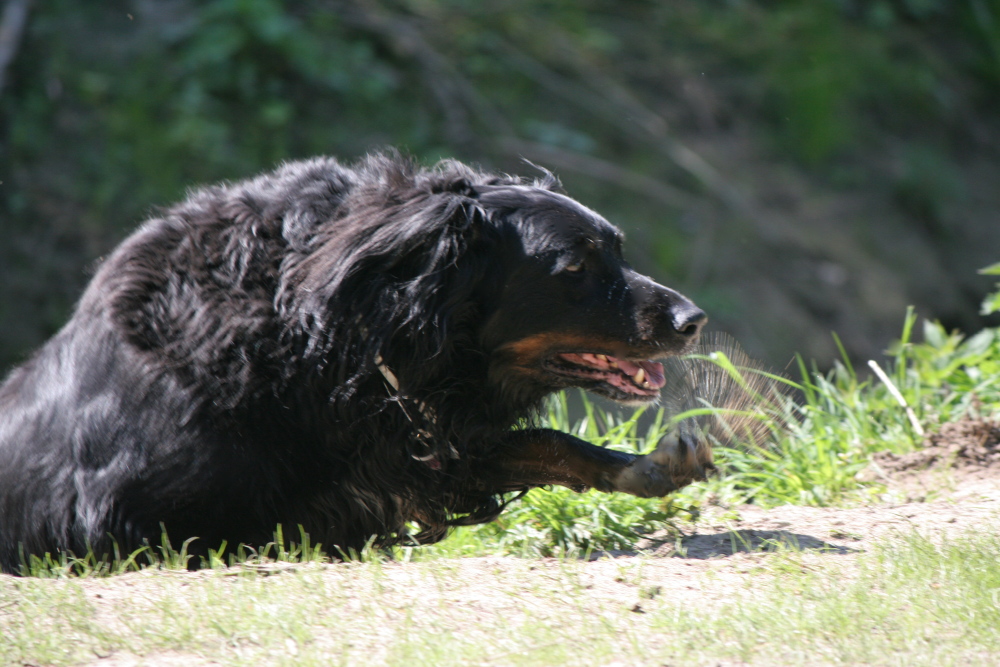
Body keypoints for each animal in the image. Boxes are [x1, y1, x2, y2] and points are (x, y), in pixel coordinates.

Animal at [0, 154, 708, 572]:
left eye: (618, 251)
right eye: (576, 269)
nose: (692, 320)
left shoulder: (406, 433)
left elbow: (533, 445)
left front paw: (649, 466)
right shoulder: (117, 518)